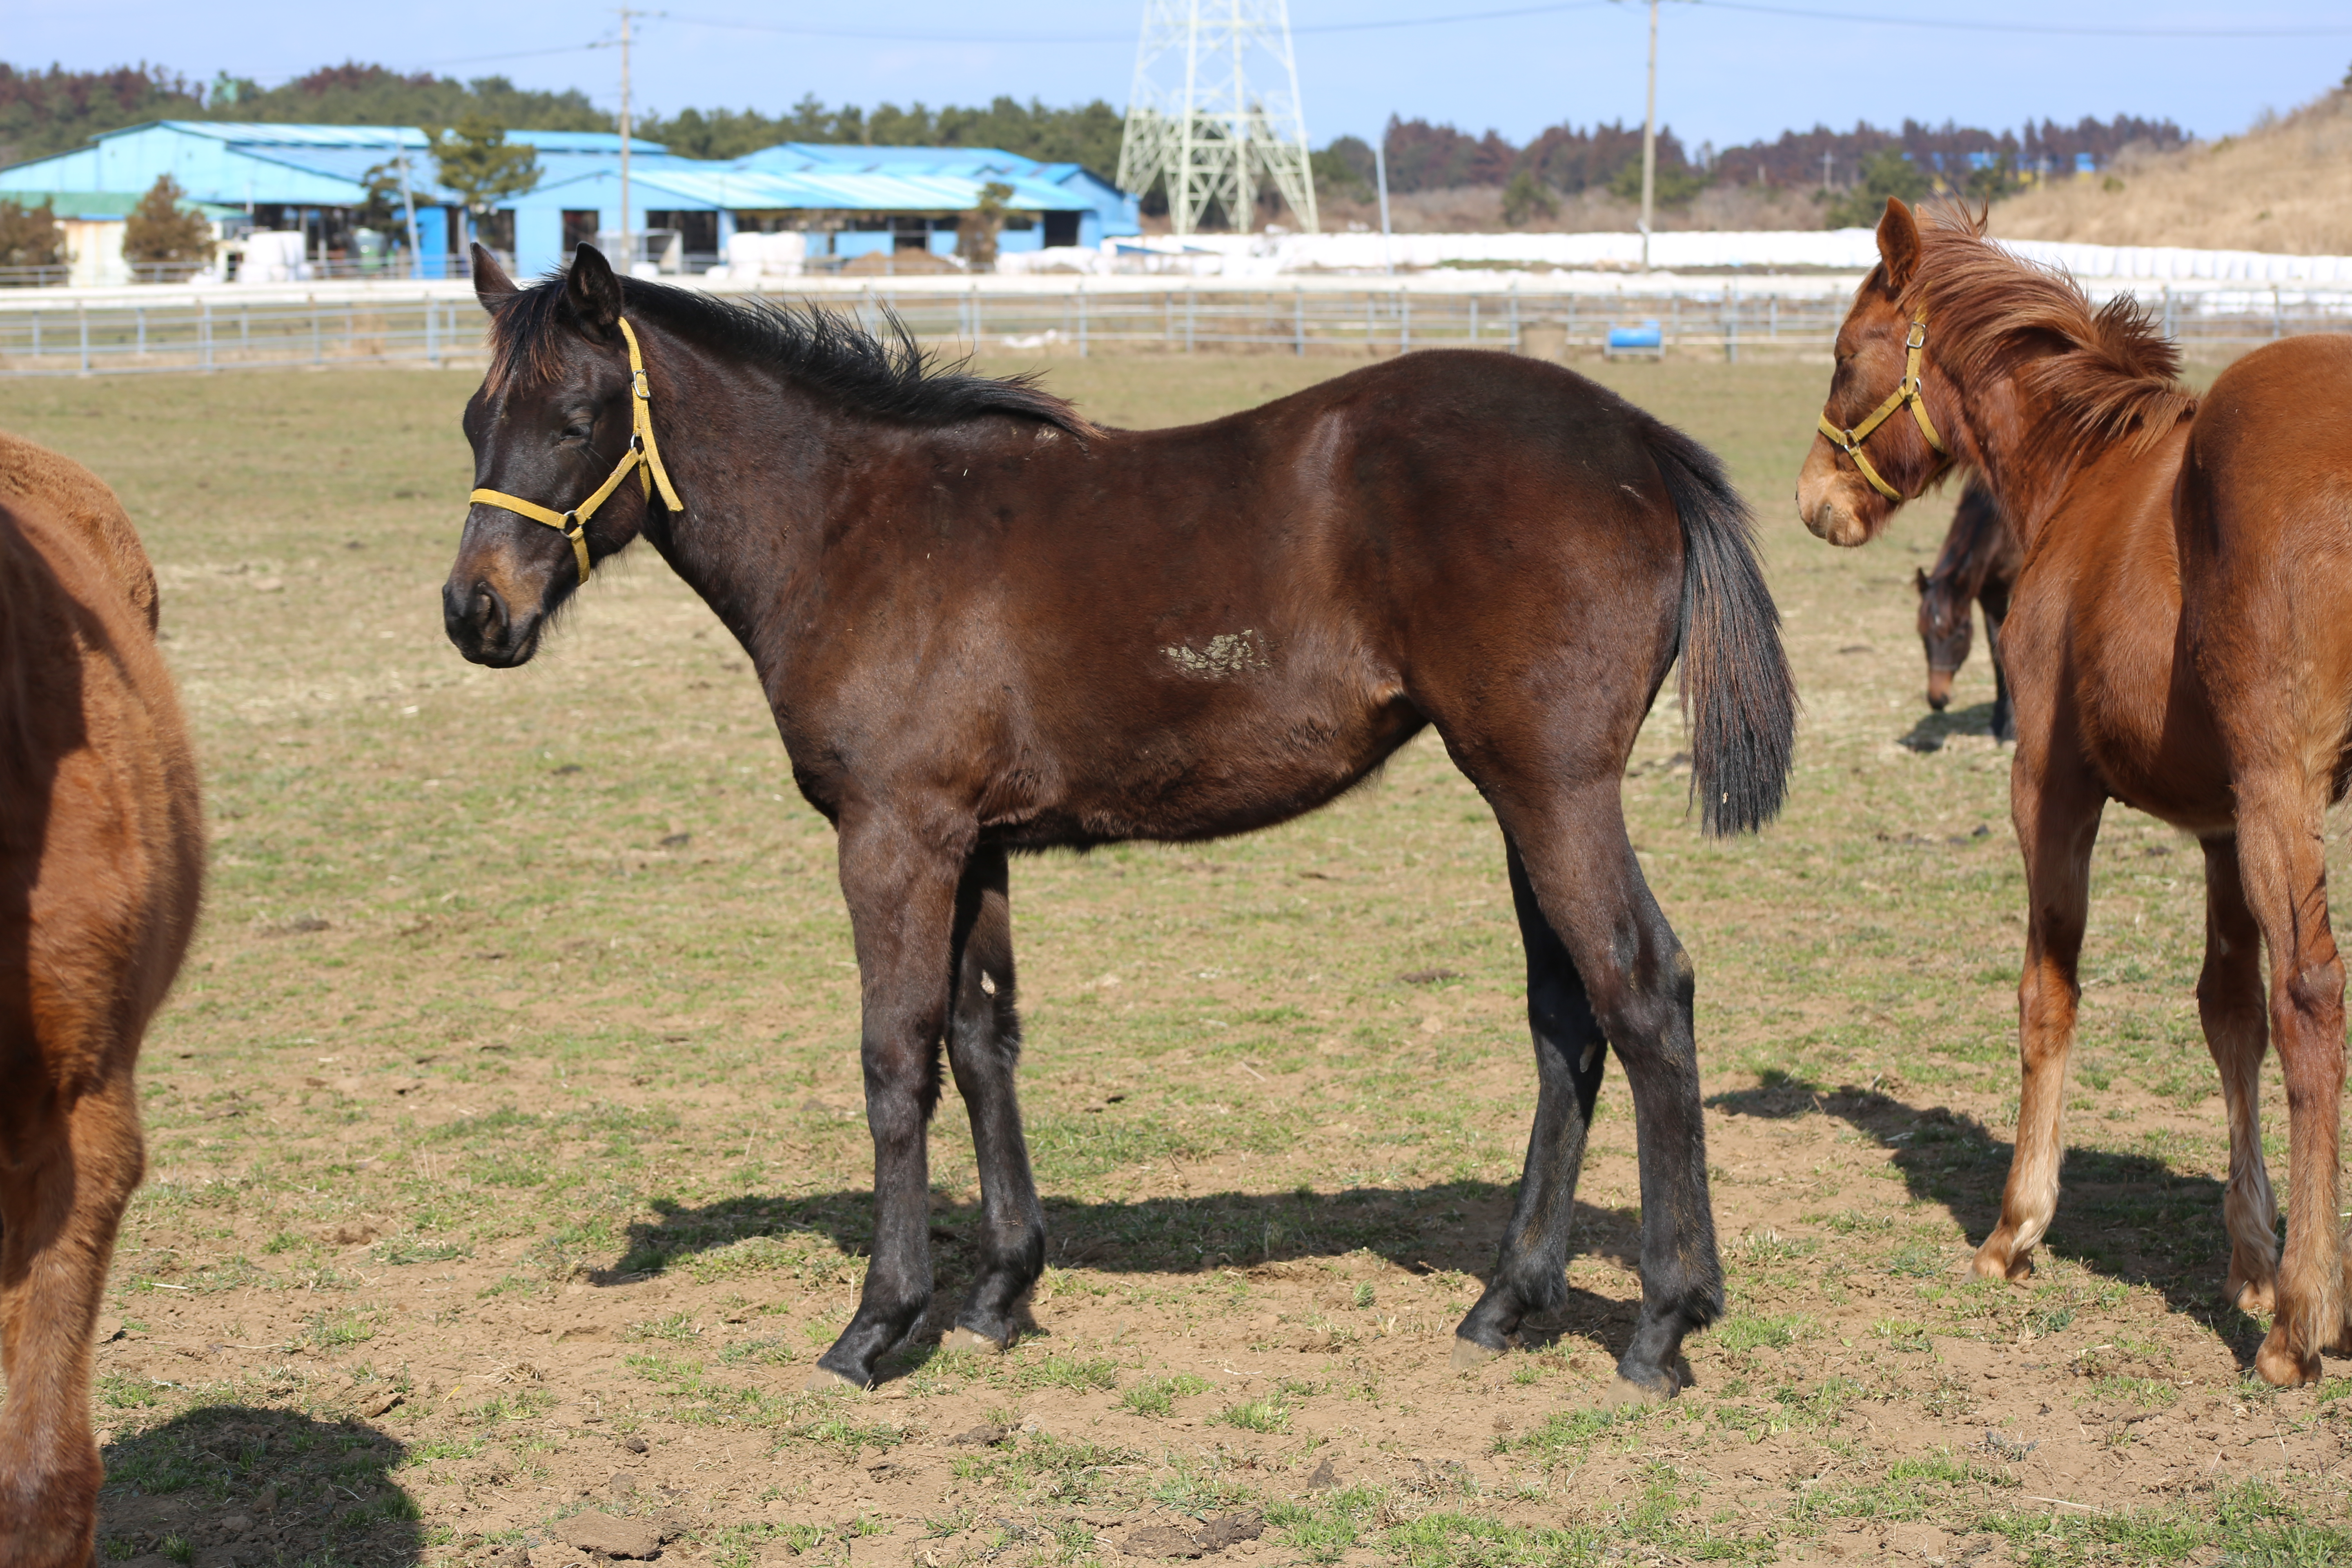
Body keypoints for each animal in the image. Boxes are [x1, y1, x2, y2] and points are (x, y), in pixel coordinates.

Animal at [444, 245, 1797, 1401]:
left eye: (577, 419)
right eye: (472, 419)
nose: (474, 614)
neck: (859, 528)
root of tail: (1638, 439)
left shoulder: (893, 838)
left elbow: (896, 1060)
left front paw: (880, 1321)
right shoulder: (974, 844)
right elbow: (983, 1042)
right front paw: (1000, 1292)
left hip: (1552, 787)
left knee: (1642, 988)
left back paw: (1664, 1321)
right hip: (1519, 793)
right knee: (1569, 1015)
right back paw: (1511, 1301)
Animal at [1910, 472, 2022, 743]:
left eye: (1959, 635)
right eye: (1923, 635)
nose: (1937, 699)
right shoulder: (1989, 594)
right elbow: (1996, 652)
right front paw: (1999, 722)